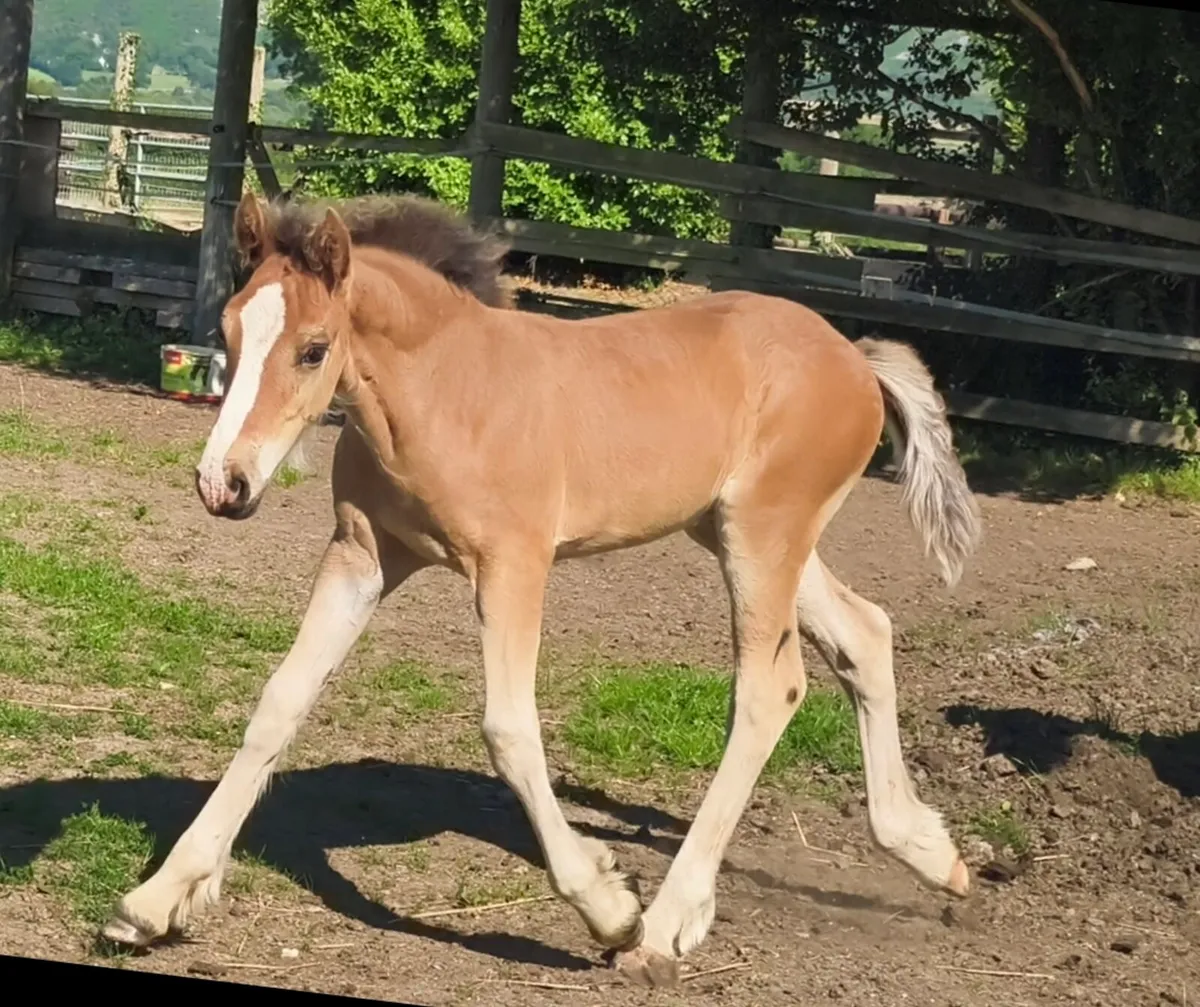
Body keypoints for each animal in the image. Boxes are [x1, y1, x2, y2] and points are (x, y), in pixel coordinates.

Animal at [101, 190, 982, 987]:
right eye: (228, 332)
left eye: (315, 349)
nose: (223, 483)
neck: (447, 392)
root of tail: (854, 356)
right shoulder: (362, 555)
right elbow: (280, 700)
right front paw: (155, 899)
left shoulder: (514, 565)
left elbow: (509, 730)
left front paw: (609, 904)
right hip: (734, 531)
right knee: (865, 631)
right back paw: (931, 852)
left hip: (763, 537)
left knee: (772, 687)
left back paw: (666, 923)